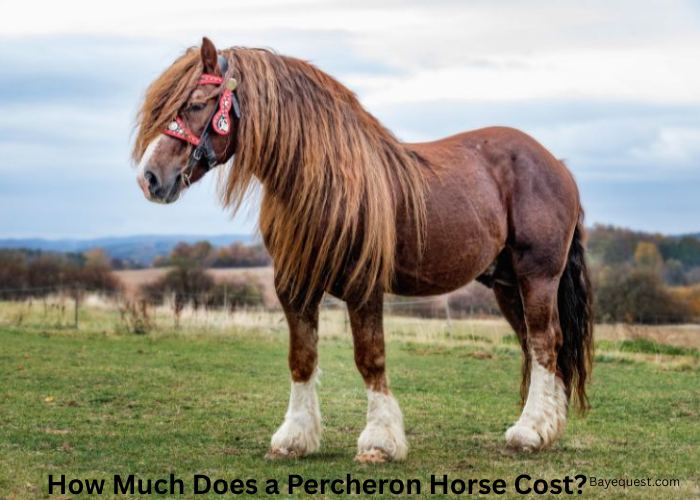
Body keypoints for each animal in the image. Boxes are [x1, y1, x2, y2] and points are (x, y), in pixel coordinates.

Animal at [133, 37, 593, 462]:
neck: (322, 181)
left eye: (196, 104)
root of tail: (557, 165)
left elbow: (370, 359)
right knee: (535, 344)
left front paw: (379, 443)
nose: (150, 178)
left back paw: (529, 433)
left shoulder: (364, 287)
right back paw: (544, 428)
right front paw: (293, 439)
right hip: (505, 283)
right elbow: (302, 358)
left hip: (537, 276)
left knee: (544, 343)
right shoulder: (293, 287)